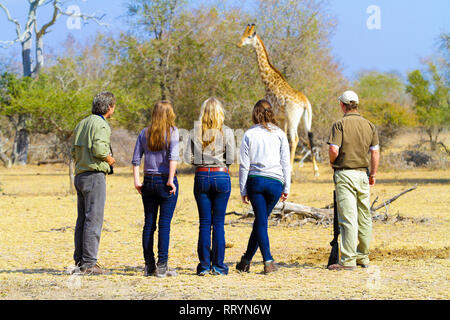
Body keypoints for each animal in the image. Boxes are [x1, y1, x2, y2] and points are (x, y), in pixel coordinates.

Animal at [237, 23, 318, 176]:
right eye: (243, 34)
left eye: (249, 36)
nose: (239, 43)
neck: (268, 82)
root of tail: (304, 102)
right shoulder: (282, 118)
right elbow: (283, 137)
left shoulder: (277, 115)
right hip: (305, 117)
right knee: (309, 137)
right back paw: (316, 171)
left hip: (293, 118)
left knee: (296, 138)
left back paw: (291, 169)